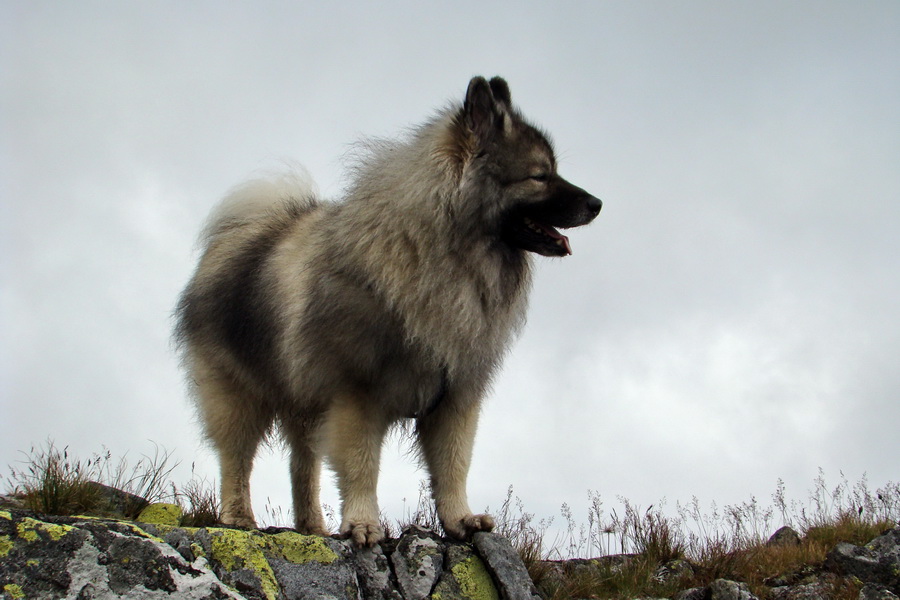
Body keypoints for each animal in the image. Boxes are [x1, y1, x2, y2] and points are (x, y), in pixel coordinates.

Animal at [173, 77, 600, 548]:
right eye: (540, 176)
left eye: (552, 171)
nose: (597, 203)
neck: (447, 252)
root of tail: (240, 233)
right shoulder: (357, 393)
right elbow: (362, 465)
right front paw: (363, 524)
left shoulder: (455, 397)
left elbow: (453, 466)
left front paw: (460, 519)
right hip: (238, 394)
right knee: (236, 458)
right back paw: (238, 517)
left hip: (304, 403)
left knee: (303, 465)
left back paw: (311, 526)